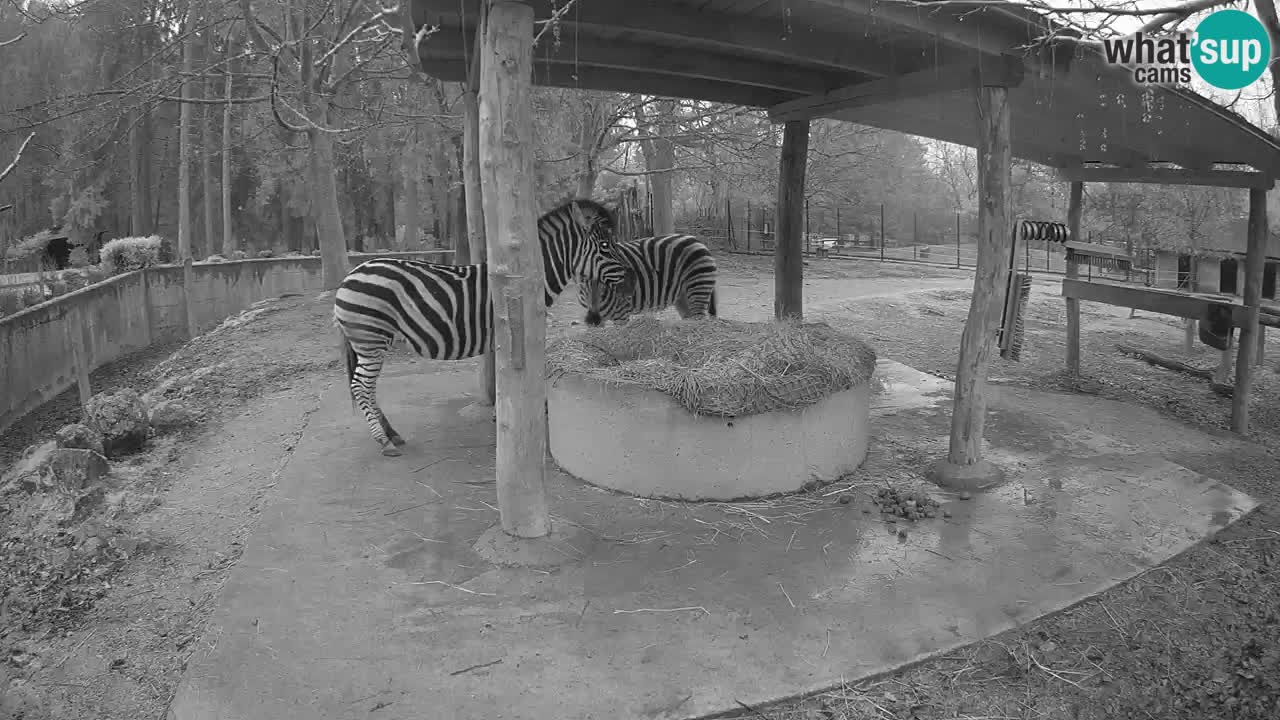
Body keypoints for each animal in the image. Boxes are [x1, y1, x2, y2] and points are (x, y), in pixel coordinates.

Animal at [330, 196, 629, 453]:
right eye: (606, 246)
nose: (628, 276)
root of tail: (350, 275)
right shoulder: (516, 331)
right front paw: (514, 415)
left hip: (372, 341)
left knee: (368, 387)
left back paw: (391, 434)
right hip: (371, 338)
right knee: (361, 386)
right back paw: (384, 441)